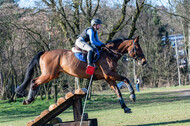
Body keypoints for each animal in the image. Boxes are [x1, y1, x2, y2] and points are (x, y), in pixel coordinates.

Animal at [15, 36, 146, 113]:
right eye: (137, 47)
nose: (144, 62)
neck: (110, 54)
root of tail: (45, 52)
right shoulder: (110, 74)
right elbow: (126, 79)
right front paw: (132, 96)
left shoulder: (109, 78)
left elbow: (118, 91)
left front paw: (125, 107)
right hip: (49, 74)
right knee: (34, 81)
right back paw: (28, 100)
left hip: (52, 75)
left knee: (35, 82)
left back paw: (29, 99)